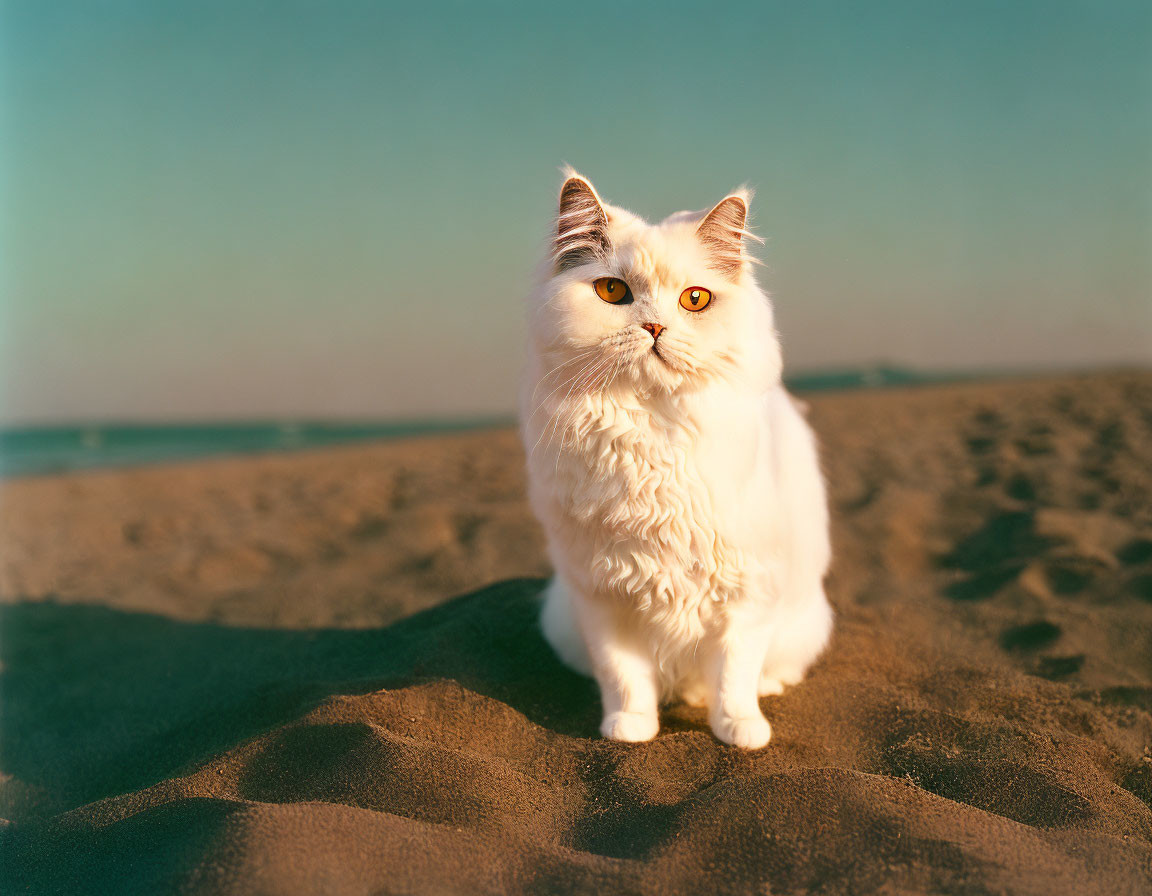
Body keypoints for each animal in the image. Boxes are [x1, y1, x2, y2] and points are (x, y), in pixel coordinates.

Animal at [520, 171, 829, 741]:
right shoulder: (602, 595)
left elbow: (733, 676)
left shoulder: (748, 591)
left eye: (695, 299)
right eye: (612, 291)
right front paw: (629, 728)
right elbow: (624, 676)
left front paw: (741, 731)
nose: (655, 328)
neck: (652, 428)